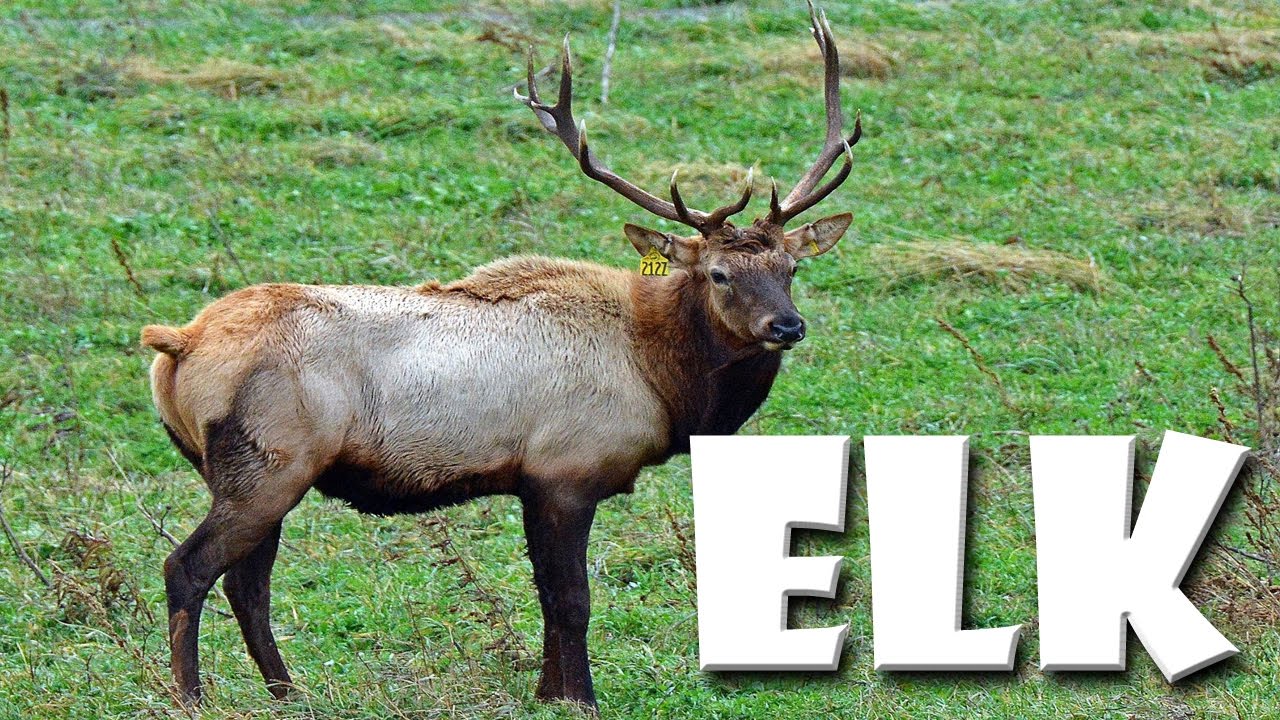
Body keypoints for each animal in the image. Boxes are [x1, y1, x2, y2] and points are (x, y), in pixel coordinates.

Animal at [140, 2, 861, 713]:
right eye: (718, 274)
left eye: (790, 267)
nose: (787, 325)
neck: (663, 380)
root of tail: (176, 343)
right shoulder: (566, 471)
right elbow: (571, 600)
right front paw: (580, 697)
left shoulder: (532, 482)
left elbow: (545, 599)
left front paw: (546, 691)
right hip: (269, 464)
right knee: (189, 568)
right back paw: (192, 695)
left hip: (242, 472)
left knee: (246, 584)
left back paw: (287, 692)